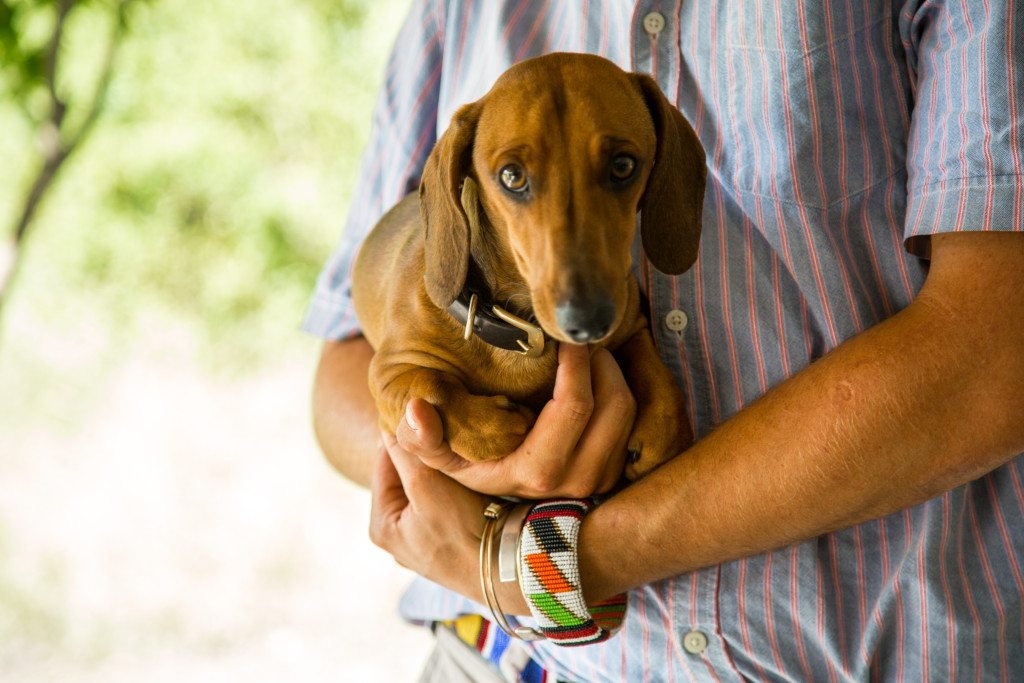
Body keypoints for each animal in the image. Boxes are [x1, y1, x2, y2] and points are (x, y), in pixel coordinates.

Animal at [352, 54, 704, 481]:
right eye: (512, 176)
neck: (522, 330)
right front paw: (489, 426)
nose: (588, 321)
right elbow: (430, 386)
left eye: (623, 165)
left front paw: (663, 427)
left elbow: (655, 371)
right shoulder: (388, 370)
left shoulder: (631, 322)